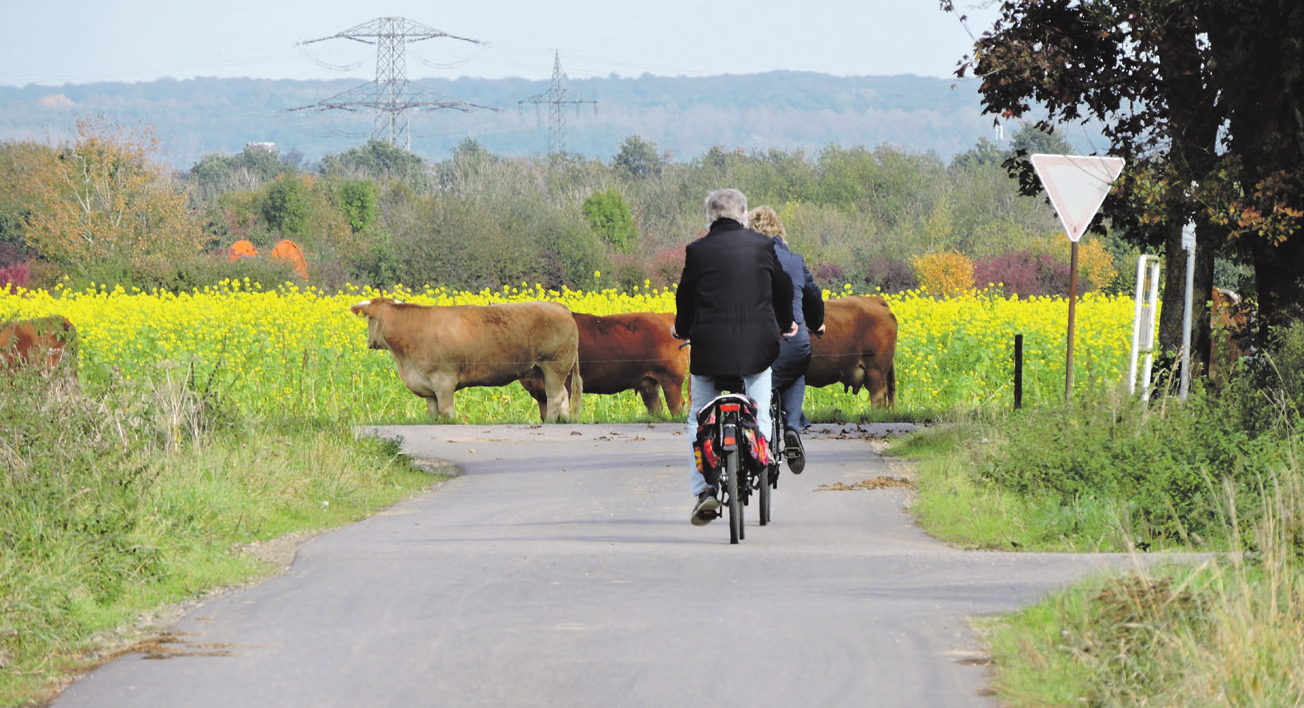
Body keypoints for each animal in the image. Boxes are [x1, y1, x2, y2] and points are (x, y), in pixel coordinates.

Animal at [354, 297, 584, 425]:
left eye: (369, 319)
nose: (368, 342)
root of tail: (558, 306)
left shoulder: (443, 380)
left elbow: (446, 412)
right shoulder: (428, 387)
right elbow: (434, 413)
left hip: (555, 367)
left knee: (555, 397)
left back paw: (552, 421)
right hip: (548, 370)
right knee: (563, 396)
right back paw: (563, 421)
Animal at [516, 311, 688, 422]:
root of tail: (664, 315)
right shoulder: (541, 395)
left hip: (671, 380)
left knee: (677, 406)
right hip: (649, 385)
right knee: (656, 408)